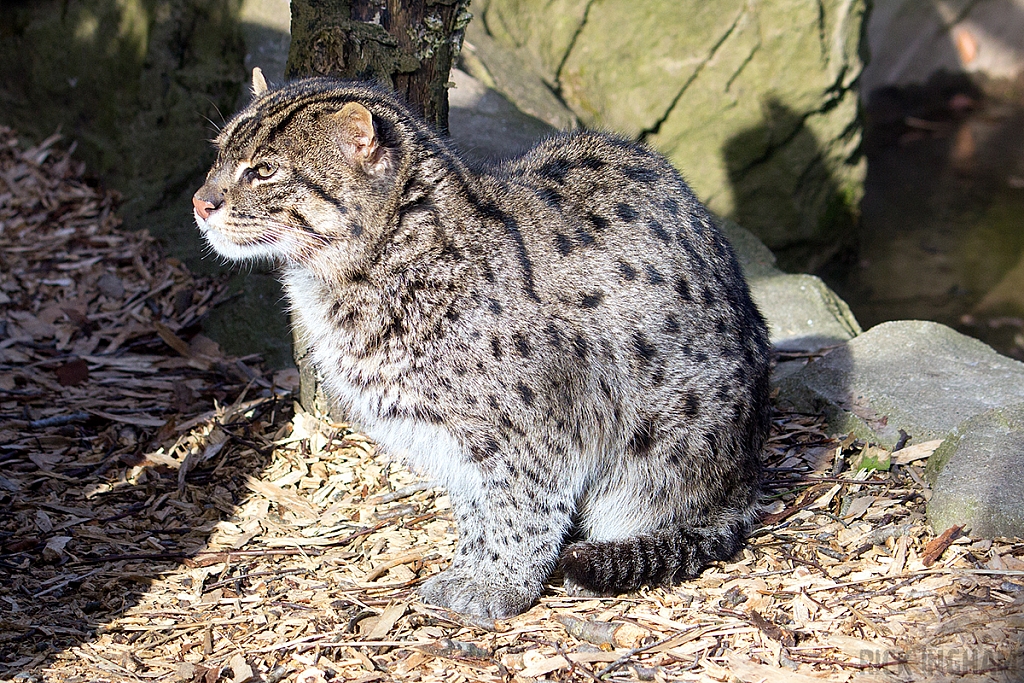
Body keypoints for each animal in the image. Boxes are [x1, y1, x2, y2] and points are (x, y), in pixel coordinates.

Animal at [190, 69, 770, 618]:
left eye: (265, 170)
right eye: (218, 153)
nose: (200, 201)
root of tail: (748, 477)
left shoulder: (543, 430)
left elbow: (521, 511)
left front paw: (499, 584)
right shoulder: (457, 443)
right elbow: (476, 509)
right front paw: (471, 566)